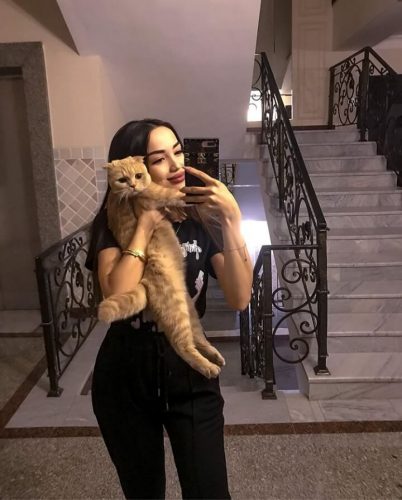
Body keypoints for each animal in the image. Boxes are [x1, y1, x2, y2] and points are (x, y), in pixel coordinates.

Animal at [97, 156, 225, 378]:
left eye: (138, 175)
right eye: (122, 179)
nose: (133, 185)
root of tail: (145, 283)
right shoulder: (159, 195)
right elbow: (177, 195)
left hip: (189, 312)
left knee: (198, 339)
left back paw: (214, 355)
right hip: (177, 312)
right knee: (183, 346)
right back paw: (209, 367)